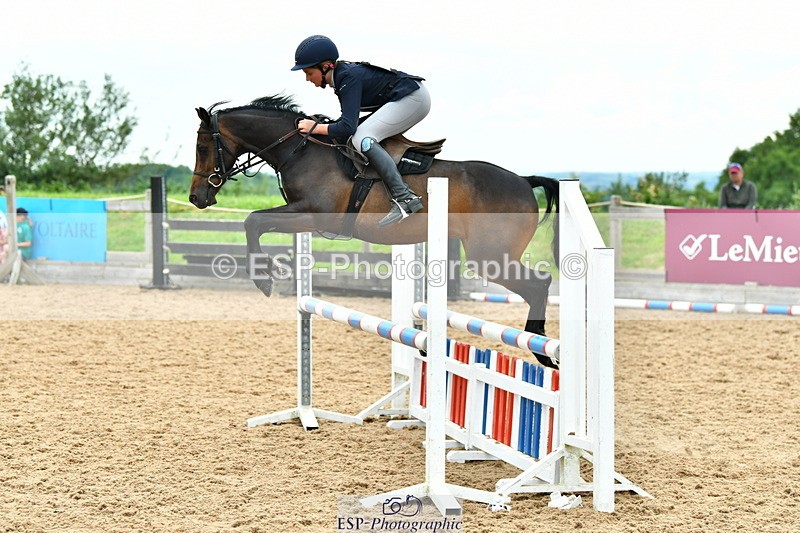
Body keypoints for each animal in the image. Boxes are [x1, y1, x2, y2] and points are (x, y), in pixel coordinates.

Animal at [189, 95, 560, 368]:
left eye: (203, 148)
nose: (196, 198)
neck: (302, 152)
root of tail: (525, 181)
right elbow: (255, 222)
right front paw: (269, 272)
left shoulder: (315, 218)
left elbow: (253, 221)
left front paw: (264, 277)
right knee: (538, 285)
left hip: (489, 256)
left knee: (539, 284)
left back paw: (542, 350)